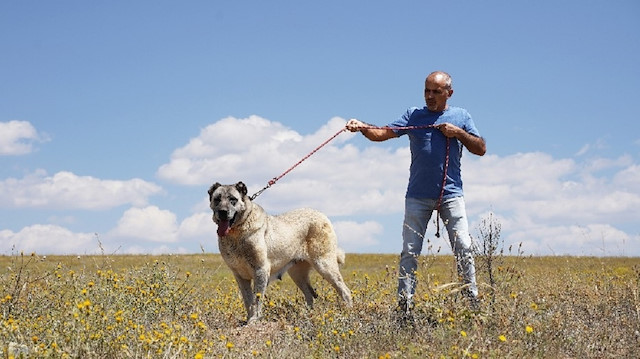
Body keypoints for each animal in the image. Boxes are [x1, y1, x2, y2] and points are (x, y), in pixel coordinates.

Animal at [208, 181, 352, 324]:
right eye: (217, 199)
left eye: (233, 199)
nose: (222, 212)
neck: (236, 233)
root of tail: (322, 215)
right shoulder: (240, 275)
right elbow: (247, 300)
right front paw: (249, 319)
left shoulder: (260, 270)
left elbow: (256, 299)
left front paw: (254, 319)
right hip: (297, 273)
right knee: (310, 294)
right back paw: (308, 316)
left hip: (324, 265)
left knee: (345, 291)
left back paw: (347, 312)